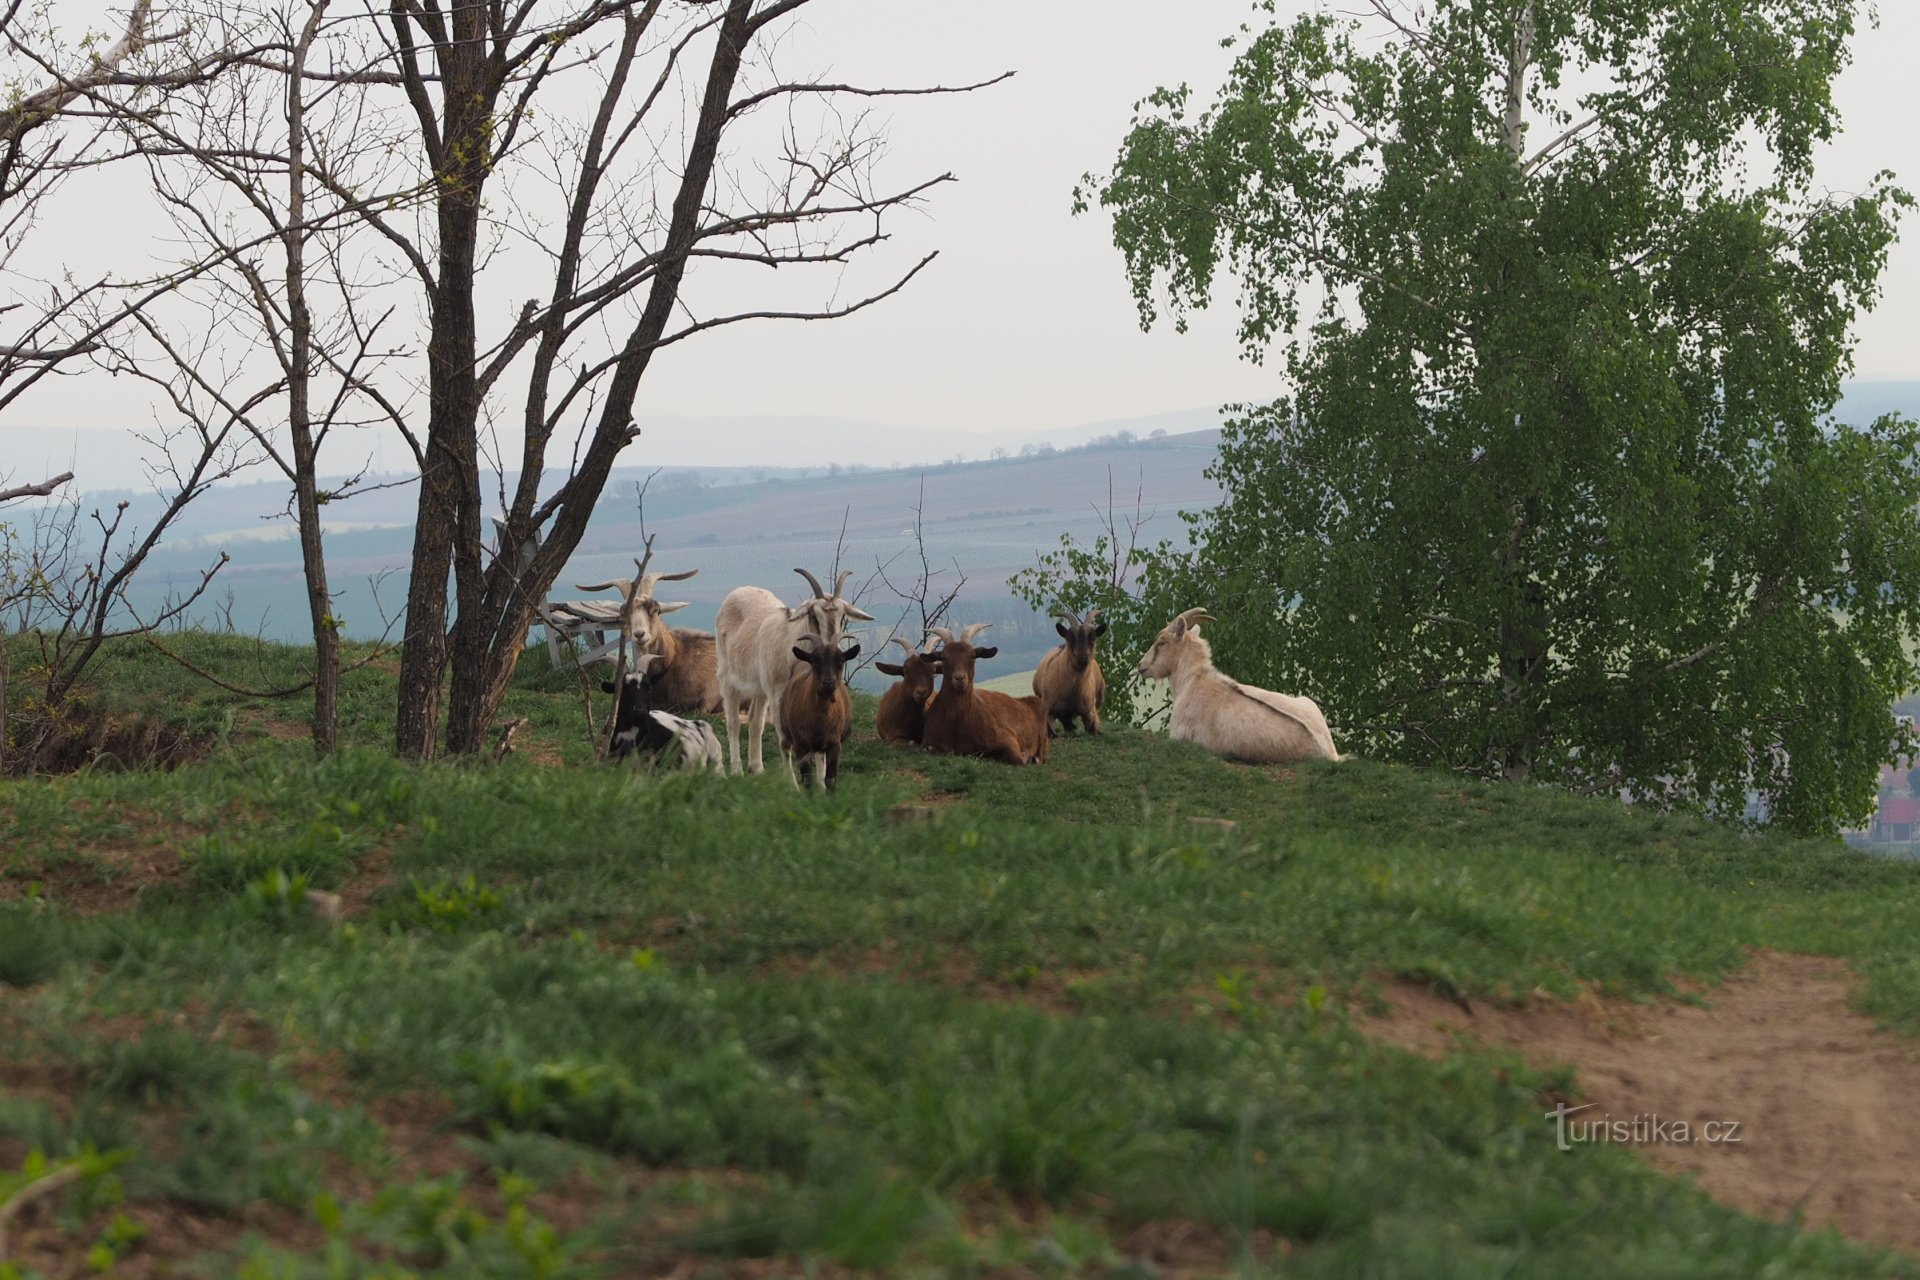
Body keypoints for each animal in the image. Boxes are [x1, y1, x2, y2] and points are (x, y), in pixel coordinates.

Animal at [775, 633, 860, 786]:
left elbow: (830, 778)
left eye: (841, 659)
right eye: (814, 660)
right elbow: (807, 779)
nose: (829, 682)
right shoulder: (800, 744)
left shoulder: (834, 744)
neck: (819, 721)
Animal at [917, 625, 1052, 767]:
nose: (960, 678)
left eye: (972, 655)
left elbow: (1018, 758)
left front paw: (1026, 755)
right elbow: (928, 749)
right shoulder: (928, 742)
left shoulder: (1007, 736)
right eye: (943, 657)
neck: (958, 724)